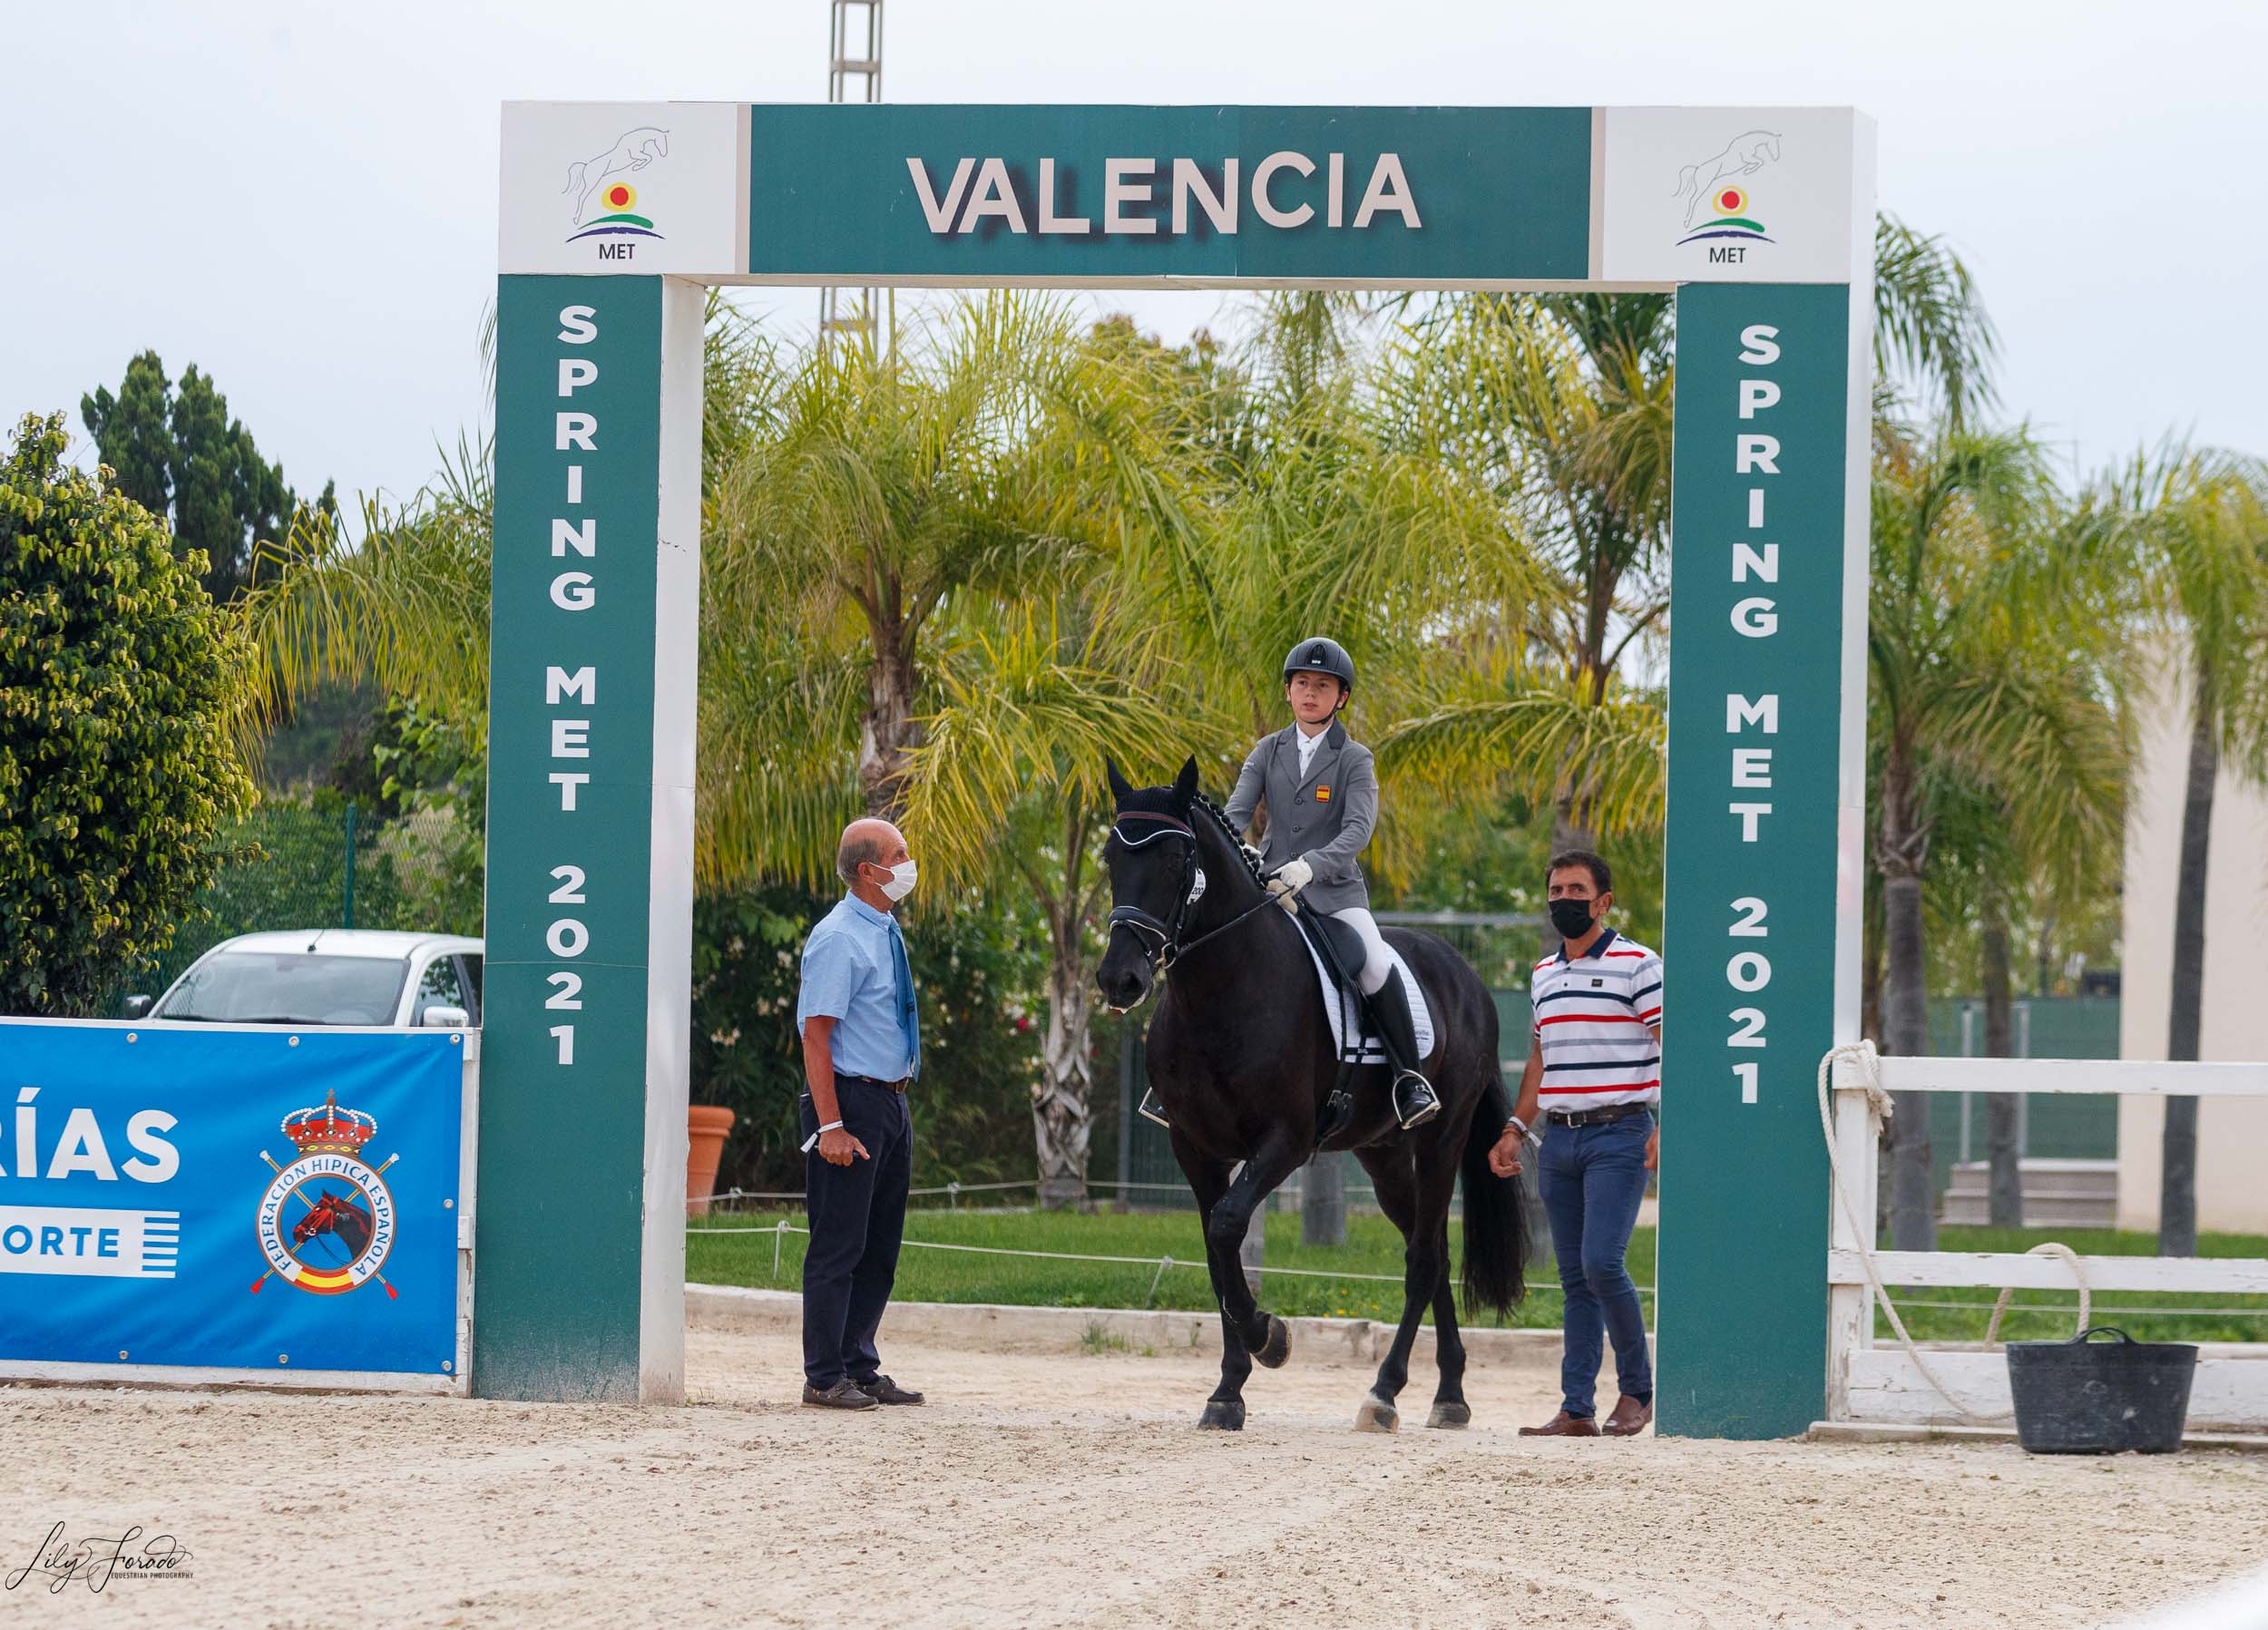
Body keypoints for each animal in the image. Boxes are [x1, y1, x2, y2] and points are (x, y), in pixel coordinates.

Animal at [1093, 756, 1533, 1432]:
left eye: (1173, 860)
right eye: (1113, 856)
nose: (1120, 979)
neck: (1223, 990)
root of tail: (1466, 974)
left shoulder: (1286, 1141)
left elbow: (1228, 1228)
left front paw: (1268, 1338)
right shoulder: (1195, 1149)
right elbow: (1217, 1253)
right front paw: (1228, 1390)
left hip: (1441, 1137)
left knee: (1424, 1257)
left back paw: (1384, 1393)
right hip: (1383, 1155)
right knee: (1427, 1246)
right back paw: (1450, 1393)